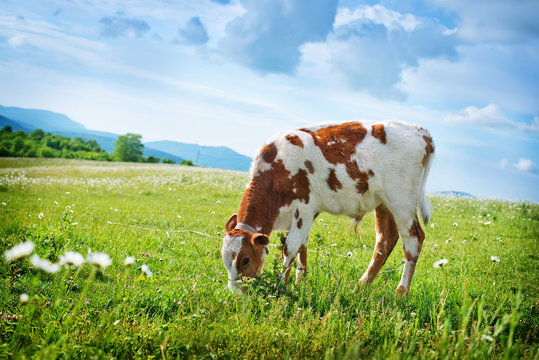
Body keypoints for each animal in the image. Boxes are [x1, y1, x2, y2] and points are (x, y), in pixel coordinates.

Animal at [220, 120, 434, 296]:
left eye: (245, 260)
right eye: (224, 259)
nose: (236, 293)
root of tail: (421, 130)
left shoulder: (305, 207)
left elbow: (291, 247)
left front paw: (279, 286)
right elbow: (301, 244)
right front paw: (300, 280)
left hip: (401, 201)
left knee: (413, 240)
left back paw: (400, 294)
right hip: (383, 203)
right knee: (385, 240)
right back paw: (359, 288)